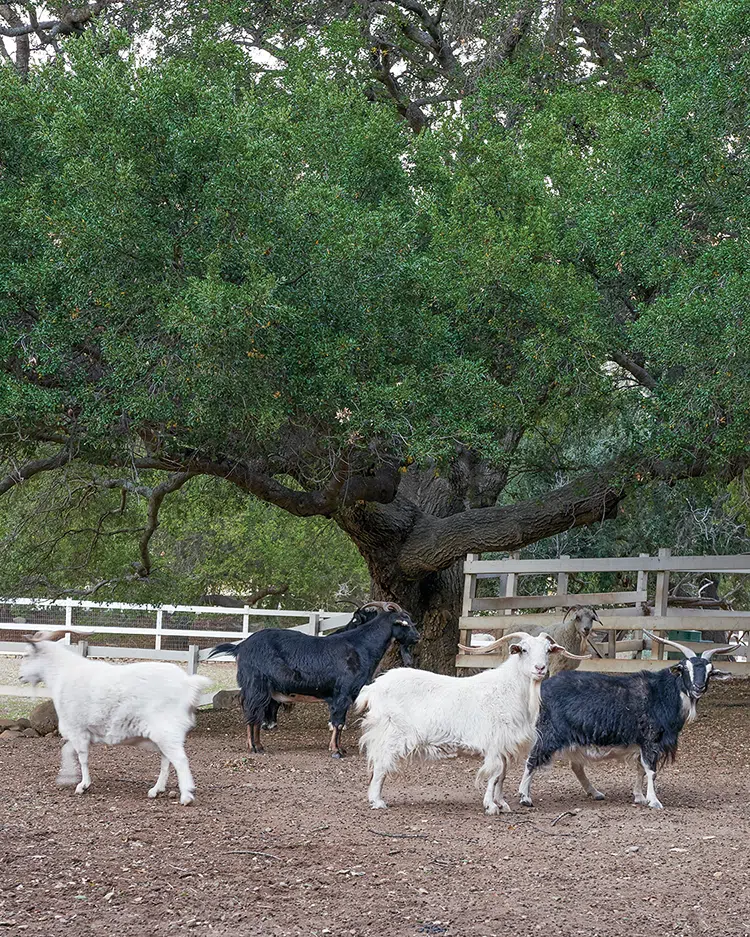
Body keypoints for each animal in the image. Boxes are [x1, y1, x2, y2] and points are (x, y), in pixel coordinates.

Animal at [21, 632, 209, 808]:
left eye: (27, 654)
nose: (20, 676)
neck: (62, 673)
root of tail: (188, 683)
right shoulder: (84, 732)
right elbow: (67, 751)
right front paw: (65, 778)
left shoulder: (77, 729)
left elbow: (82, 757)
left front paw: (83, 785)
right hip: (165, 735)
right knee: (167, 759)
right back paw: (156, 790)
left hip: (166, 730)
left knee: (180, 760)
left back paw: (186, 797)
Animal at [209, 604, 420, 756]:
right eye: (404, 623)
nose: (417, 637)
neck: (361, 646)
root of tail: (240, 646)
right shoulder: (342, 693)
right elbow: (338, 722)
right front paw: (336, 751)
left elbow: (339, 723)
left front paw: (340, 748)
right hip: (255, 685)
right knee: (251, 715)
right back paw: (253, 747)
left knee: (257, 715)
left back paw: (260, 746)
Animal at [356, 632, 592, 816]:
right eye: (523, 650)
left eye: (547, 650)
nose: (540, 668)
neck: (511, 690)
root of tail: (373, 688)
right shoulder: (495, 743)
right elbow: (494, 774)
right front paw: (491, 806)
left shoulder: (506, 746)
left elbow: (502, 776)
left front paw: (502, 803)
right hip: (391, 734)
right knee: (381, 765)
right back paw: (377, 801)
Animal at [516, 632, 740, 808]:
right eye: (684, 668)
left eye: (710, 671)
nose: (698, 687)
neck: (662, 694)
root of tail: (540, 690)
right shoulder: (651, 739)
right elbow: (651, 770)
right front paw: (654, 801)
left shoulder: (641, 742)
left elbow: (640, 769)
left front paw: (639, 796)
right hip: (550, 732)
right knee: (532, 759)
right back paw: (525, 797)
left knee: (576, 766)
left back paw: (594, 792)